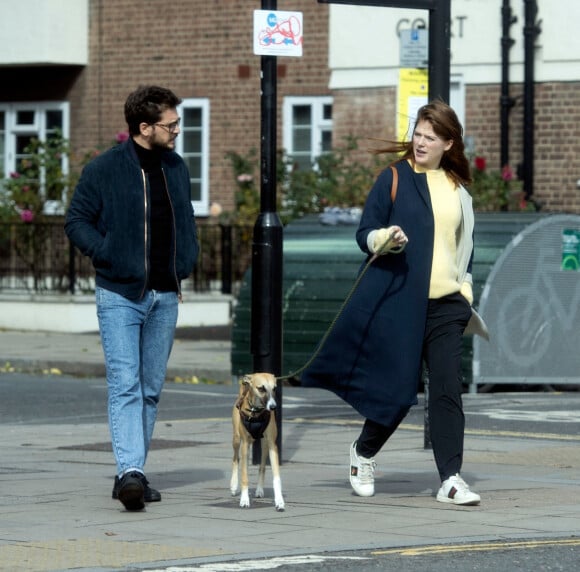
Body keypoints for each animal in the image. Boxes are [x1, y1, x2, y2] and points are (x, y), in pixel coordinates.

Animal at [231, 374, 286, 512]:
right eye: (261, 388)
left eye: (275, 388)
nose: (273, 407)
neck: (255, 412)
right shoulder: (245, 444)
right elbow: (244, 476)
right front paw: (244, 500)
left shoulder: (272, 445)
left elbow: (276, 477)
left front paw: (279, 501)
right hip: (237, 439)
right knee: (235, 459)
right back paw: (233, 485)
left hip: (264, 444)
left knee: (262, 466)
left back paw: (259, 489)